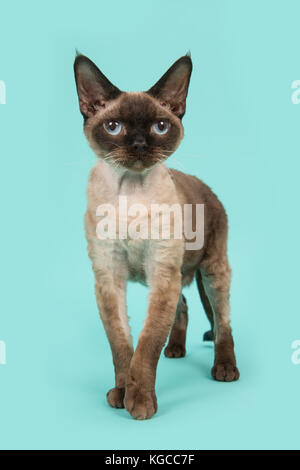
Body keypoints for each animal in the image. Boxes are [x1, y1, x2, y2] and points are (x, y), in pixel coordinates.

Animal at [73, 53, 239, 420]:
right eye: (113, 127)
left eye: (159, 128)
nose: (138, 145)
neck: (130, 192)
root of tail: (209, 189)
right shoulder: (110, 277)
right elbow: (122, 346)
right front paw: (122, 393)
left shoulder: (161, 272)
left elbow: (147, 343)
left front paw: (140, 402)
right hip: (174, 276)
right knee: (185, 306)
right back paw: (175, 349)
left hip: (211, 272)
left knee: (222, 323)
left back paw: (225, 370)